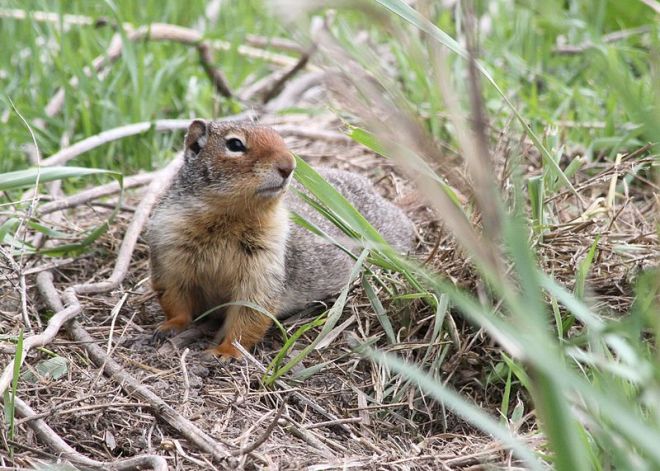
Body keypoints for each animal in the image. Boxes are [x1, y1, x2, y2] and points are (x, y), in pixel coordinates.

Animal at [146, 120, 412, 360]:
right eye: (234, 144)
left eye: (280, 137)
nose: (289, 165)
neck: (230, 218)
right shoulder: (168, 250)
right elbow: (174, 298)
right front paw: (169, 327)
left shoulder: (265, 264)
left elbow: (250, 312)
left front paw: (226, 351)